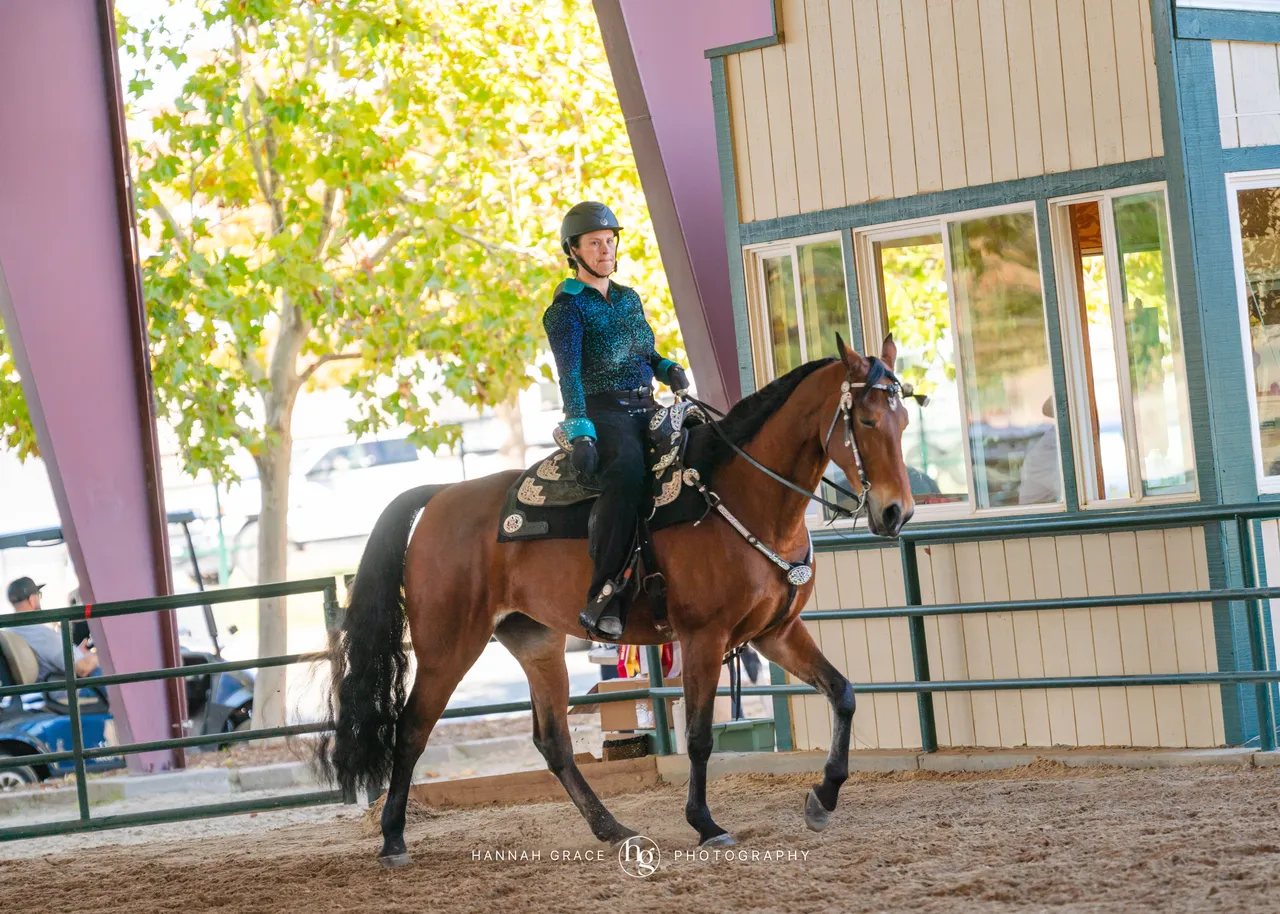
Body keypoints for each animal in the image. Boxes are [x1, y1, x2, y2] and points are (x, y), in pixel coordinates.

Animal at [319, 334, 916, 866]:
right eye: (865, 421)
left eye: (904, 420)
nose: (896, 512)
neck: (742, 494)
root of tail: (440, 495)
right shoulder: (704, 638)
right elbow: (699, 736)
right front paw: (705, 823)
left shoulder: (776, 633)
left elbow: (843, 694)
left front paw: (824, 797)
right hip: (448, 648)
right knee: (411, 730)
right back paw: (393, 840)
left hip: (536, 642)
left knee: (553, 742)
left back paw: (612, 829)